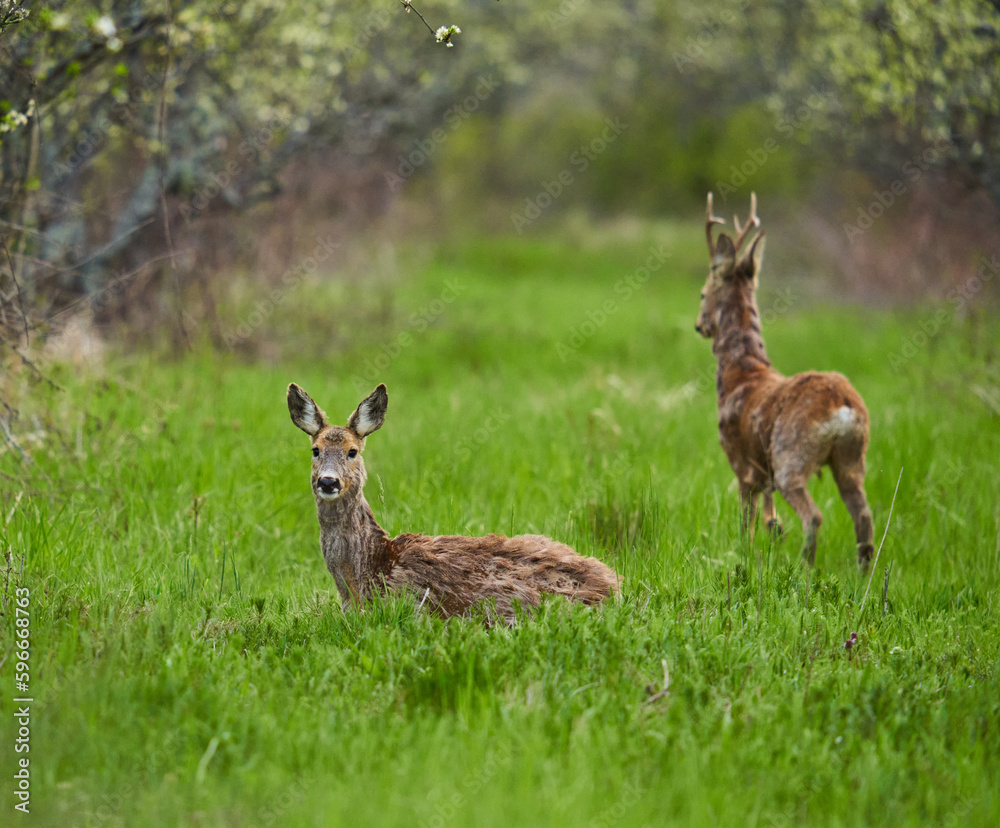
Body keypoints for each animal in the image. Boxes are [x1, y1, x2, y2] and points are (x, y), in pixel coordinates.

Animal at [696, 193, 876, 568]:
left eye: (703, 294)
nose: (699, 325)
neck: (741, 371)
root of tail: (843, 406)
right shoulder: (762, 474)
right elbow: (771, 521)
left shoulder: (742, 464)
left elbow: (746, 525)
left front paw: (744, 561)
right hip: (852, 458)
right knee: (864, 517)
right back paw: (863, 577)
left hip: (790, 455)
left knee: (814, 515)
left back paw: (804, 570)